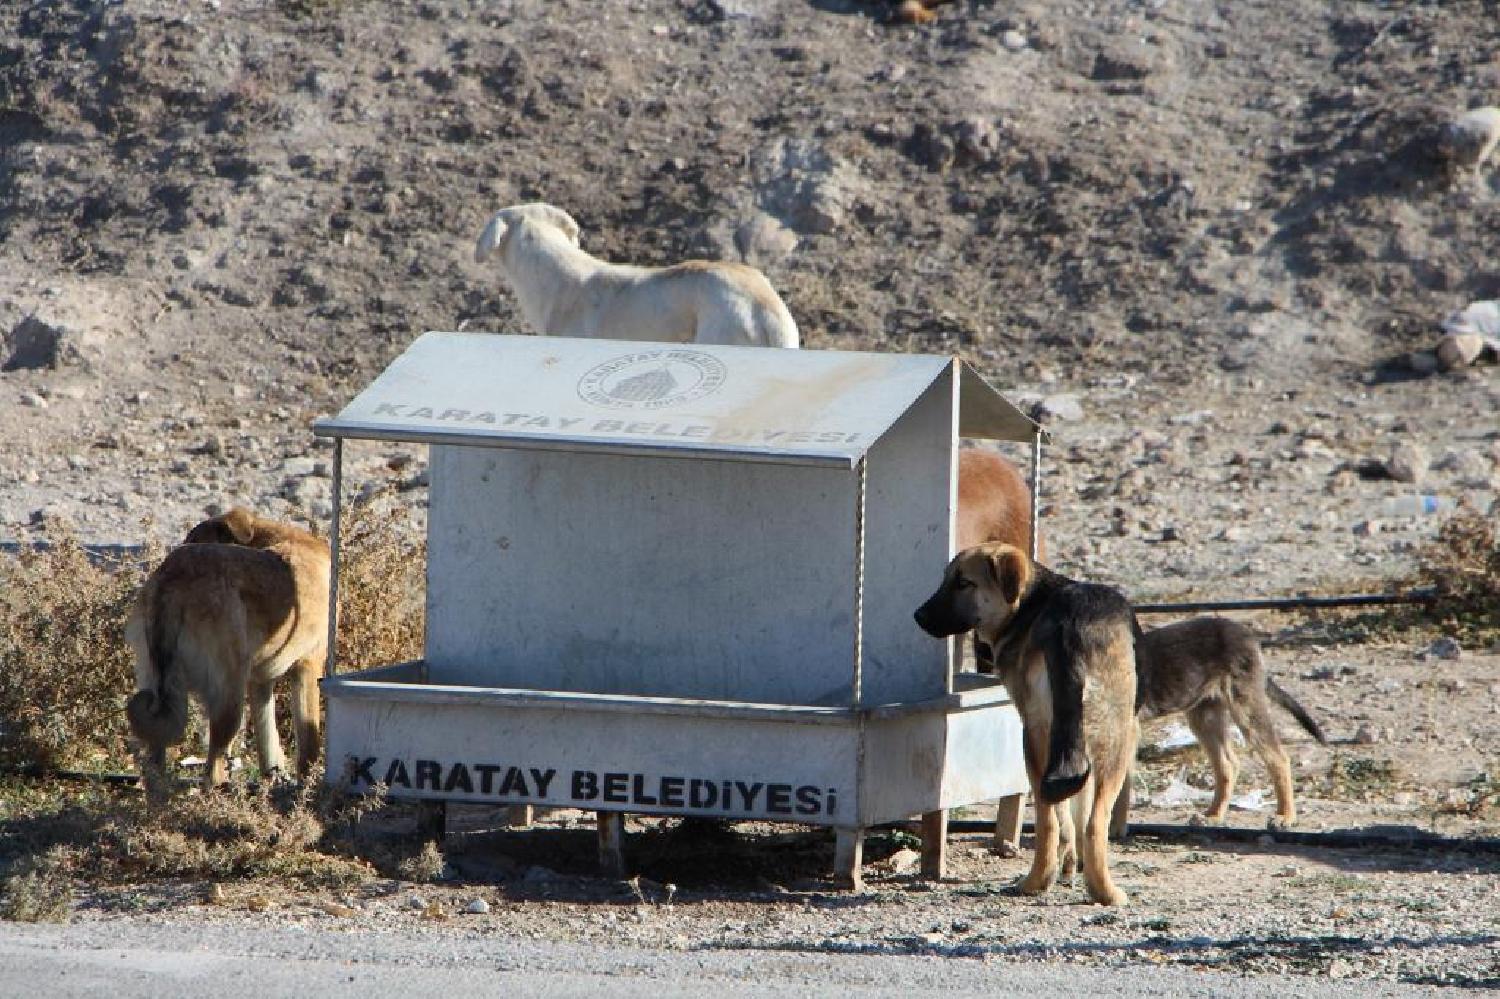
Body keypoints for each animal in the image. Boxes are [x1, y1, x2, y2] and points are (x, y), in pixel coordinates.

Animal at [126, 508, 330, 792]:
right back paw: (220, 790)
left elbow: (268, 735)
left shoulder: (260, 682)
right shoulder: (307, 667)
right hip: (231, 692)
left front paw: (274, 777)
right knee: (213, 765)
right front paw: (307, 784)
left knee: (156, 760)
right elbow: (309, 742)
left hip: (158, 685)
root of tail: (172, 579)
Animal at [915, 543, 1137, 905]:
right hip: (1111, 739)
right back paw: (1082, 889)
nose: (918, 617)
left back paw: (1065, 884)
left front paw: (1071, 865)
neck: (1029, 604)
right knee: (1085, 822)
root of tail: (1070, 626)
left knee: (1062, 818)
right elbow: (1074, 814)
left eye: (963, 583)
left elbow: (1071, 814)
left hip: (1052, 738)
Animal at [1111, 616, 1328, 837]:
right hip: (1205, 715)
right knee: (1228, 764)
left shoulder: (1128, 732)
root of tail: (1246, 633)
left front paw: (1116, 828)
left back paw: (1285, 816)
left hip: (1245, 706)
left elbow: (1120, 787)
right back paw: (1214, 815)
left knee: (1278, 758)